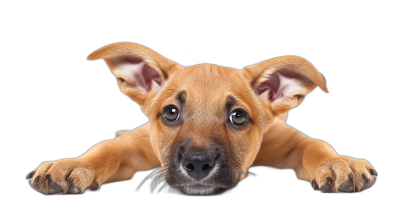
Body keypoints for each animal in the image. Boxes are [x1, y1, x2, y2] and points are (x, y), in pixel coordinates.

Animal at [25, 42, 378, 196]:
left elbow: (315, 145)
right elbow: (105, 149)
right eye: (171, 112)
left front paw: (338, 163)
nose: (197, 165)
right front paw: (72, 165)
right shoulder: (135, 146)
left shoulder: (288, 140)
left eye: (238, 117)